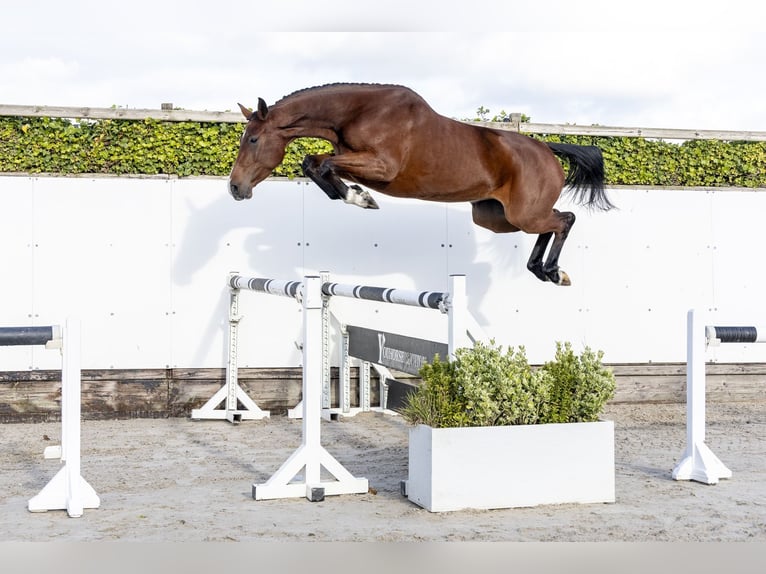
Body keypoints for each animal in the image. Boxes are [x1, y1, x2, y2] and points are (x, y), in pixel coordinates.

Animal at [229, 83, 613, 286]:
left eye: (253, 140)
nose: (235, 188)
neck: (358, 112)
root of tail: (547, 149)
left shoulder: (382, 167)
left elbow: (320, 164)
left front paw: (360, 198)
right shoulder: (359, 164)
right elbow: (315, 164)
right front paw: (358, 197)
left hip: (522, 214)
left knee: (564, 219)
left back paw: (554, 272)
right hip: (496, 218)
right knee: (553, 221)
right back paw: (542, 270)